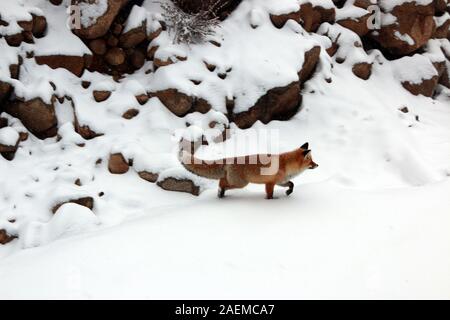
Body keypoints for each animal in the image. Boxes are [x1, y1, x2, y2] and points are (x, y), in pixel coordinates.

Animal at [180, 142, 320, 199]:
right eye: (311, 161)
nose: (317, 165)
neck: (286, 165)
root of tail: (230, 159)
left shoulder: (280, 181)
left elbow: (292, 184)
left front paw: (288, 192)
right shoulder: (269, 183)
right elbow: (270, 195)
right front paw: (271, 201)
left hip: (237, 182)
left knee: (222, 181)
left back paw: (221, 194)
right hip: (241, 184)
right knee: (222, 183)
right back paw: (221, 193)